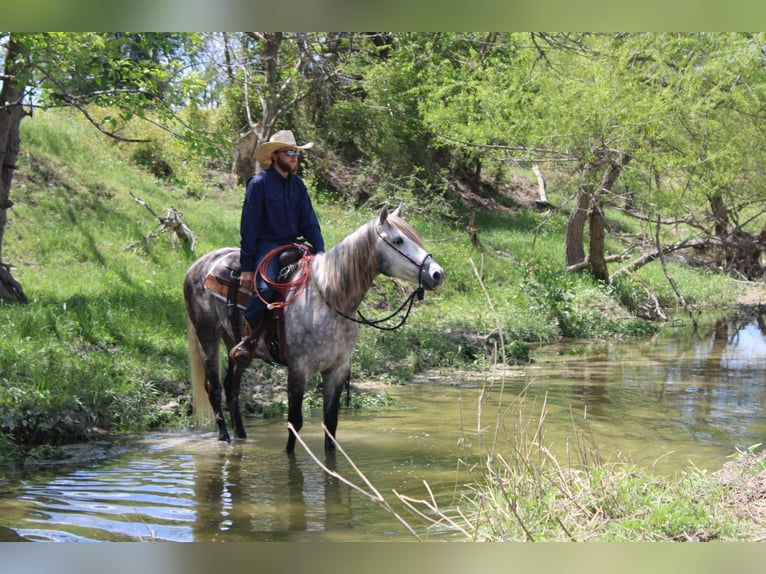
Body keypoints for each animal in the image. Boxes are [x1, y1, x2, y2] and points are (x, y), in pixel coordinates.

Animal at [183, 204, 445, 451]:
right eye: (398, 240)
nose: (437, 274)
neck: (330, 298)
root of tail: (199, 265)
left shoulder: (337, 370)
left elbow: (331, 424)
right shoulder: (298, 370)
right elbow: (294, 423)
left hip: (234, 343)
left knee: (232, 388)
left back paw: (241, 437)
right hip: (208, 335)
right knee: (214, 388)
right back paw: (225, 438)